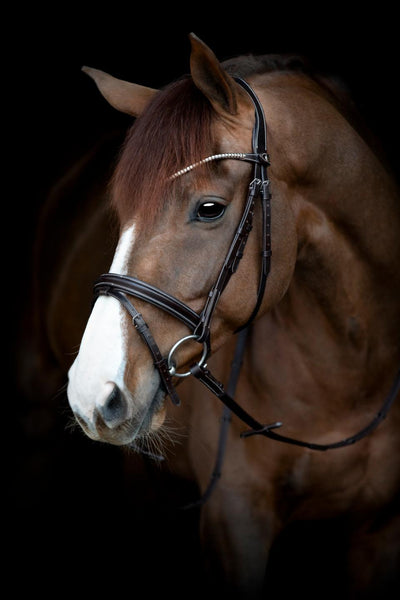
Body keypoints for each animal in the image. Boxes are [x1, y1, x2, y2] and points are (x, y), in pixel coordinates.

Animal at [28, 35, 400, 596]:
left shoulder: (378, 532)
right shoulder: (235, 522)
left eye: (209, 209)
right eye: (120, 213)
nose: (92, 393)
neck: (347, 377)